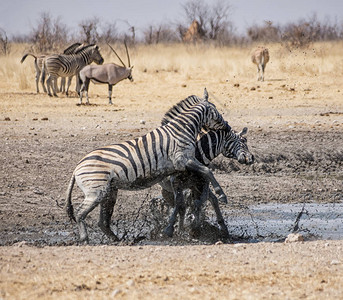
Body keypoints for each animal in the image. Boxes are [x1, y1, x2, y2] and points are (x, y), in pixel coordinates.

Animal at [64, 89, 231, 244]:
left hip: (109, 192)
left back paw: (119, 240)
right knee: (80, 213)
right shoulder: (182, 159)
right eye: (217, 110)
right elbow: (207, 171)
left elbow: (198, 182)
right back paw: (85, 239)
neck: (182, 130)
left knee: (102, 221)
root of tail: (77, 167)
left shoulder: (185, 163)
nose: (228, 127)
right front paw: (221, 194)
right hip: (96, 191)